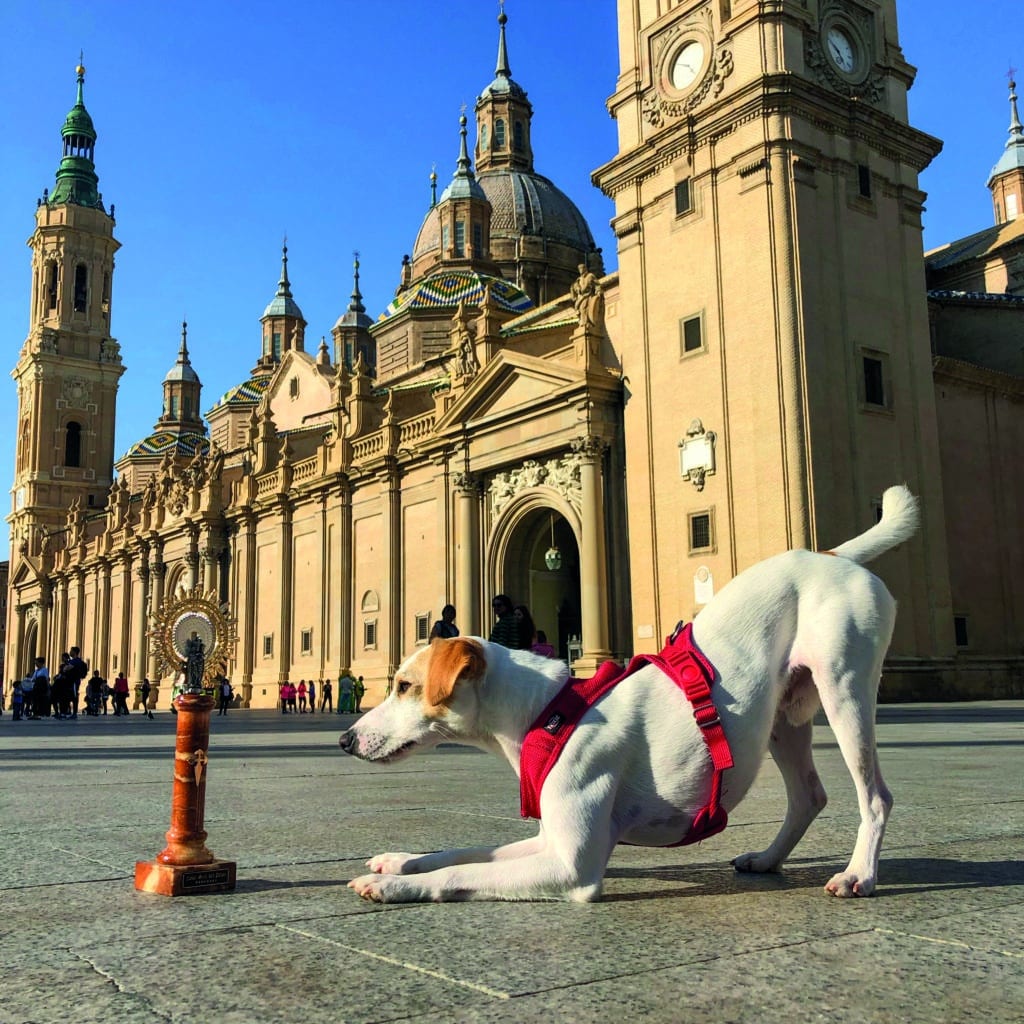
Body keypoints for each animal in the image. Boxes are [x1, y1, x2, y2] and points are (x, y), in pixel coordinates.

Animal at [337, 485, 921, 905]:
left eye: (405, 686)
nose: (344, 740)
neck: (547, 712)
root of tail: (832, 554)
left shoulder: (571, 865)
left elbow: (458, 872)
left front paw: (392, 886)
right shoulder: (548, 840)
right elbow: (461, 851)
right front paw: (399, 861)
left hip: (845, 692)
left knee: (875, 796)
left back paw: (858, 874)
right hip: (784, 716)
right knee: (808, 796)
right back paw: (768, 861)